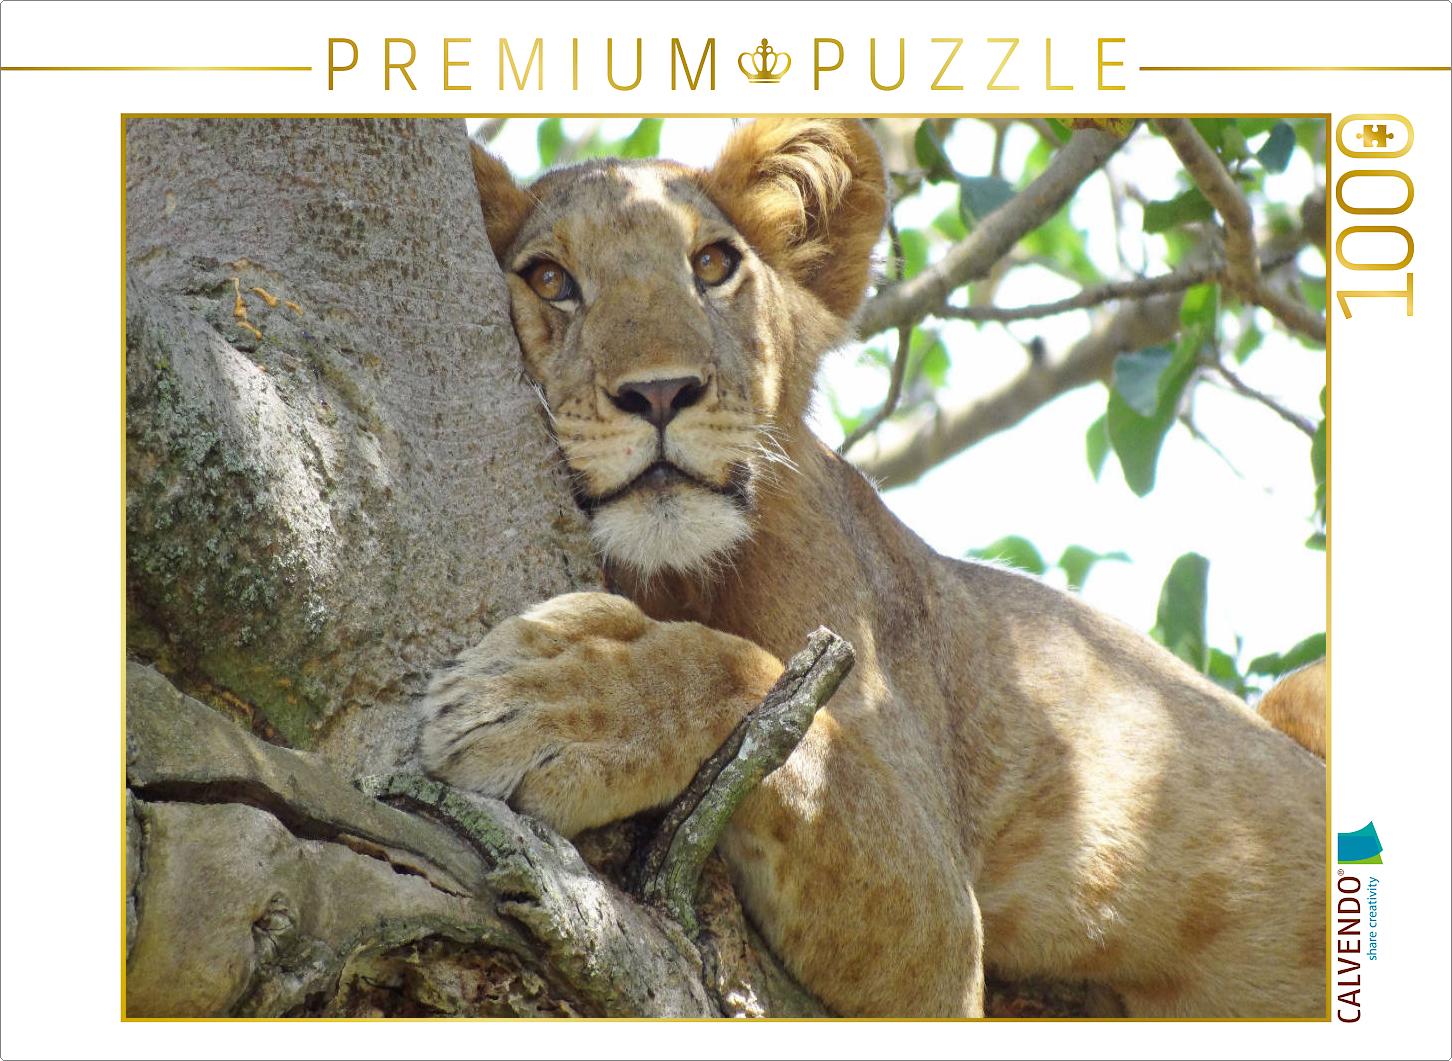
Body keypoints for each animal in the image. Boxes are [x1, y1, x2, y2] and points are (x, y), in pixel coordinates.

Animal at [418, 118, 1327, 1018]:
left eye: (711, 265)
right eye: (549, 278)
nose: (662, 393)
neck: (674, 574)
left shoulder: (943, 938)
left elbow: (753, 686)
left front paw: (554, 699)